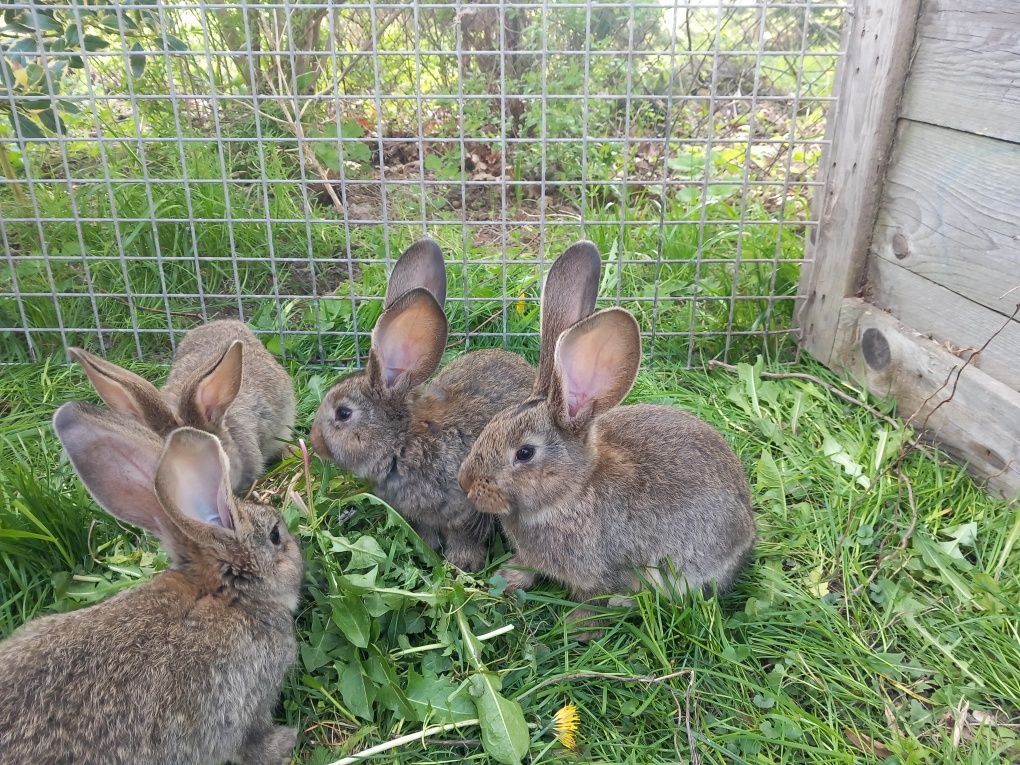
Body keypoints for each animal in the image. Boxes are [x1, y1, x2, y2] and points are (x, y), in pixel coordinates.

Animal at [0, 403, 301, 762]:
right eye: (275, 535)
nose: (299, 553)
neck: (224, 594)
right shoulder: (249, 703)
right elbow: (253, 746)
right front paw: (286, 741)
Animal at [308, 236, 595, 571]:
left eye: (343, 413)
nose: (314, 442)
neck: (403, 440)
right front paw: (428, 551)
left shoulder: (466, 508)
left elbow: (463, 535)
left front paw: (462, 563)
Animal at [459, 301, 754, 607]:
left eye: (525, 453)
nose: (465, 483)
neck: (572, 492)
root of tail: (749, 531)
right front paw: (509, 578)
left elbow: (595, 599)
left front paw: (579, 618)